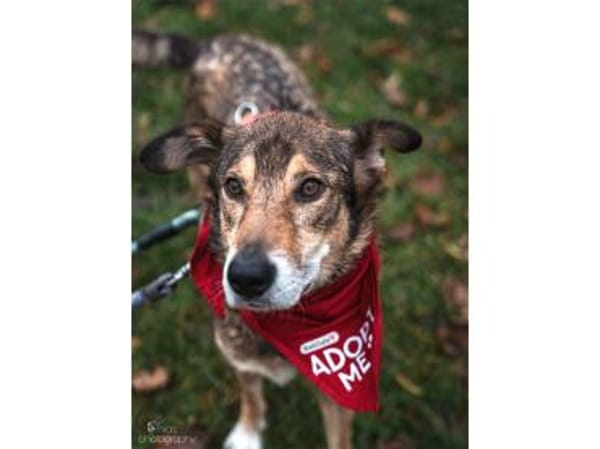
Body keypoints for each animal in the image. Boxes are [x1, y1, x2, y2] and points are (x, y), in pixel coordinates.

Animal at [133, 30, 422, 449]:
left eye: (311, 188)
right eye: (233, 186)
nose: (245, 278)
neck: (291, 322)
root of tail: (221, 41)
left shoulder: (339, 396)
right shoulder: (238, 354)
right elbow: (251, 392)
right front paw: (249, 431)